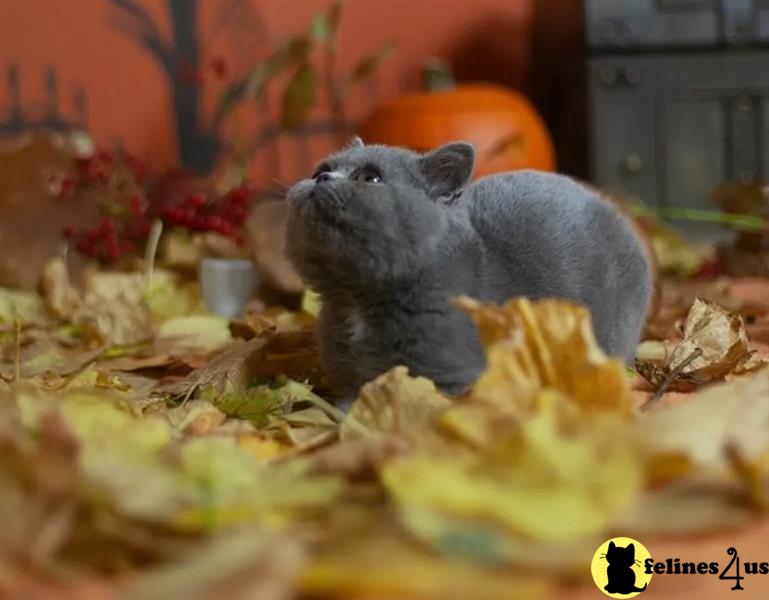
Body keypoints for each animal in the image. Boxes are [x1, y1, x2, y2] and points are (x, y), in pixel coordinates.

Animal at [284, 140, 652, 400]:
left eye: (369, 178)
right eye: (319, 170)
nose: (322, 178)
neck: (356, 299)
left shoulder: (450, 380)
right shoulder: (346, 379)